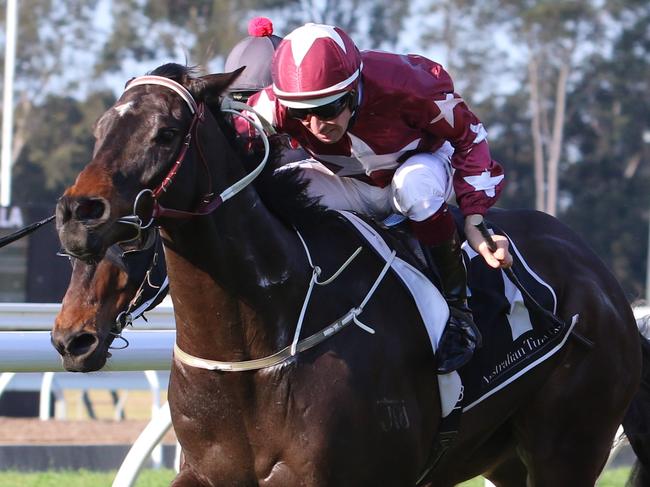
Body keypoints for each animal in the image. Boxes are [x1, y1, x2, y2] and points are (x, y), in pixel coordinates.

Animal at [54, 63, 648, 484]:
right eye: (101, 129)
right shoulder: (206, 473)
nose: (78, 214)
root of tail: (602, 278)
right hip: (506, 458)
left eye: (166, 132)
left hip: (567, 446)